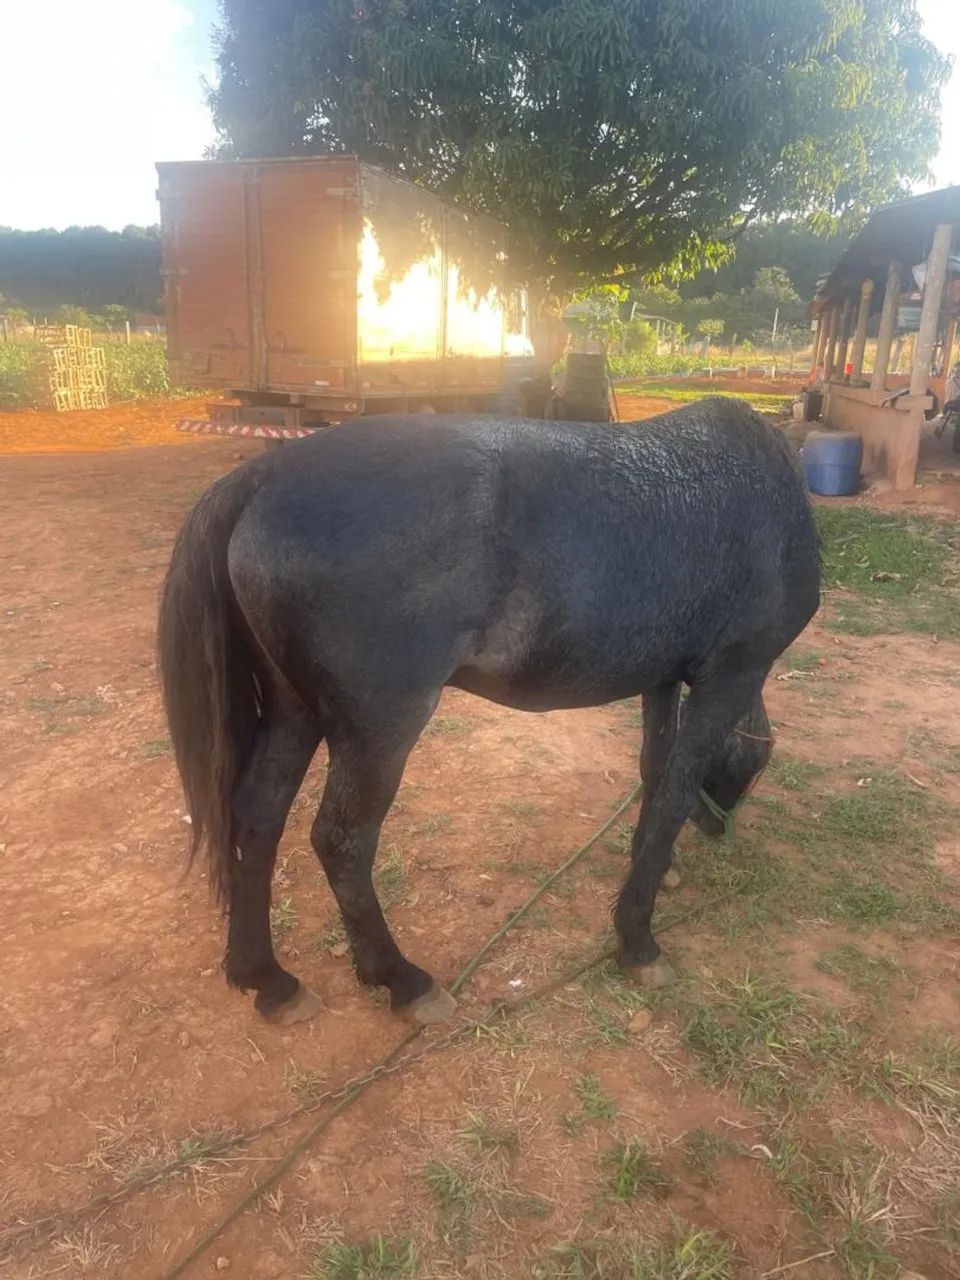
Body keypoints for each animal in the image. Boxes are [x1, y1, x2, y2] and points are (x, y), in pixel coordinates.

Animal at [158, 397, 820, 1027]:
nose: (719, 827)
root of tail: (263, 474)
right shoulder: (729, 675)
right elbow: (675, 794)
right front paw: (637, 938)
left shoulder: (661, 677)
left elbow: (655, 775)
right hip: (378, 732)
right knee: (341, 841)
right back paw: (401, 979)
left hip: (294, 713)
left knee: (256, 819)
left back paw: (267, 979)